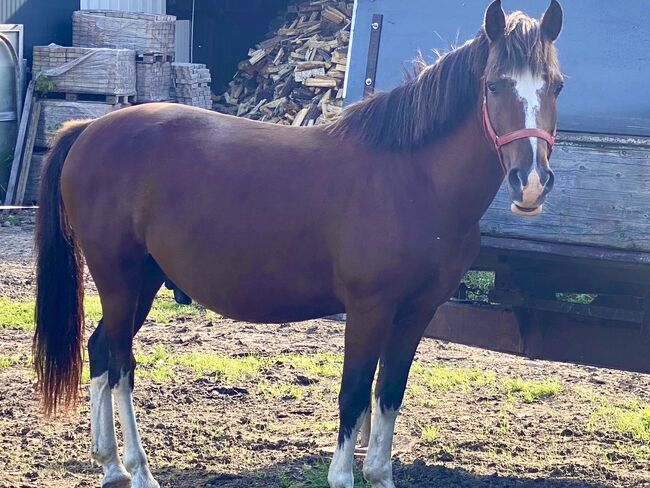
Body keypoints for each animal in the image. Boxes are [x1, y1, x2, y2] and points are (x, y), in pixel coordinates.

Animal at [32, 1, 563, 487]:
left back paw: (114, 467)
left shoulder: (417, 311)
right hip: (118, 279)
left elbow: (389, 393)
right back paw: (136, 470)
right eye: (494, 85)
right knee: (119, 361)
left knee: (103, 352)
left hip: (144, 280)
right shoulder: (369, 309)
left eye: (556, 85)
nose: (532, 184)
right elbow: (354, 394)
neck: (413, 179)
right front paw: (344, 477)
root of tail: (89, 130)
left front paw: (379, 473)